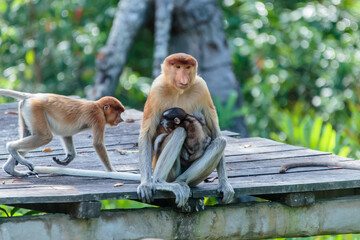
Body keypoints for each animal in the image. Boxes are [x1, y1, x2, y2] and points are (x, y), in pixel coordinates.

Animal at [0, 88, 139, 180]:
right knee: (44, 137)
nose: (121, 120)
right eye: (118, 113)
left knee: (28, 134)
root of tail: (32, 96)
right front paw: (113, 171)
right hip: (35, 109)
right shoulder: (98, 117)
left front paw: (67, 159)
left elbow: (66, 133)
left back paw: (11, 169)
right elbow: (98, 144)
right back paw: (11, 148)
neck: (98, 106)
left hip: (27, 111)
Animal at [136, 53, 235, 207]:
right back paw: (160, 182)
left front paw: (225, 185)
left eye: (187, 67)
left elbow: (215, 132)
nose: (184, 79)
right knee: (180, 132)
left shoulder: (202, 87)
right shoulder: (156, 89)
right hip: (169, 171)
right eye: (178, 67)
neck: (179, 91)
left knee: (220, 142)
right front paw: (146, 185)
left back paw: (181, 182)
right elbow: (146, 134)